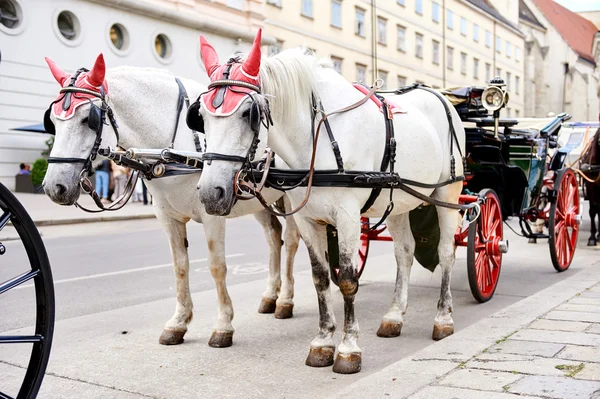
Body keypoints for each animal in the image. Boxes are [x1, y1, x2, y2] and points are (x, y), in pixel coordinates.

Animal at [42, 54, 302, 350]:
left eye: (89, 119)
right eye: (52, 121)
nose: (54, 187)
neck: (174, 151)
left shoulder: (212, 213)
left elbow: (217, 267)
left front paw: (223, 325)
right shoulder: (168, 218)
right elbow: (179, 267)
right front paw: (178, 323)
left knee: (290, 241)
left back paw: (285, 300)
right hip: (258, 199)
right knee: (273, 239)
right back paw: (270, 296)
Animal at [195, 30, 466, 376]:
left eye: (247, 114)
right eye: (200, 116)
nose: (210, 193)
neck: (318, 138)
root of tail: (442, 97)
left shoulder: (348, 217)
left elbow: (348, 281)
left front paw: (348, 349)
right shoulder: (308, 221)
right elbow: (321, 278)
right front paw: (323, 342)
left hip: (448, 193)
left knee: (446, 253)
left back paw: (443, 317)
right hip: (398, 199)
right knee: (404, 253)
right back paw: (394, 315)